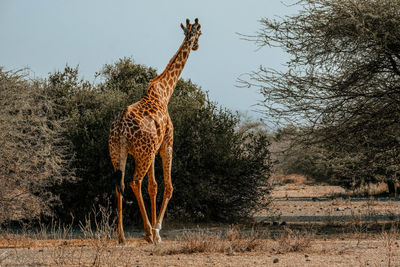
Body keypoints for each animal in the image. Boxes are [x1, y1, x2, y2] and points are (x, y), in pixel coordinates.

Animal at [108, 18, 202, 245]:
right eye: (200, 33)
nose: (196, 46)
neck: (165, 92)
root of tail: (121, 125)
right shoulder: (166, 143)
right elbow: (167, 186)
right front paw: (156, 231)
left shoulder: (153, 148)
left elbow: (153, 186)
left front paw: (151, 230)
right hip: (143, 153)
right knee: (134, 181)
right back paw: (148, 233)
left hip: (118, 152)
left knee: (119, 183)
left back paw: (121, 236)